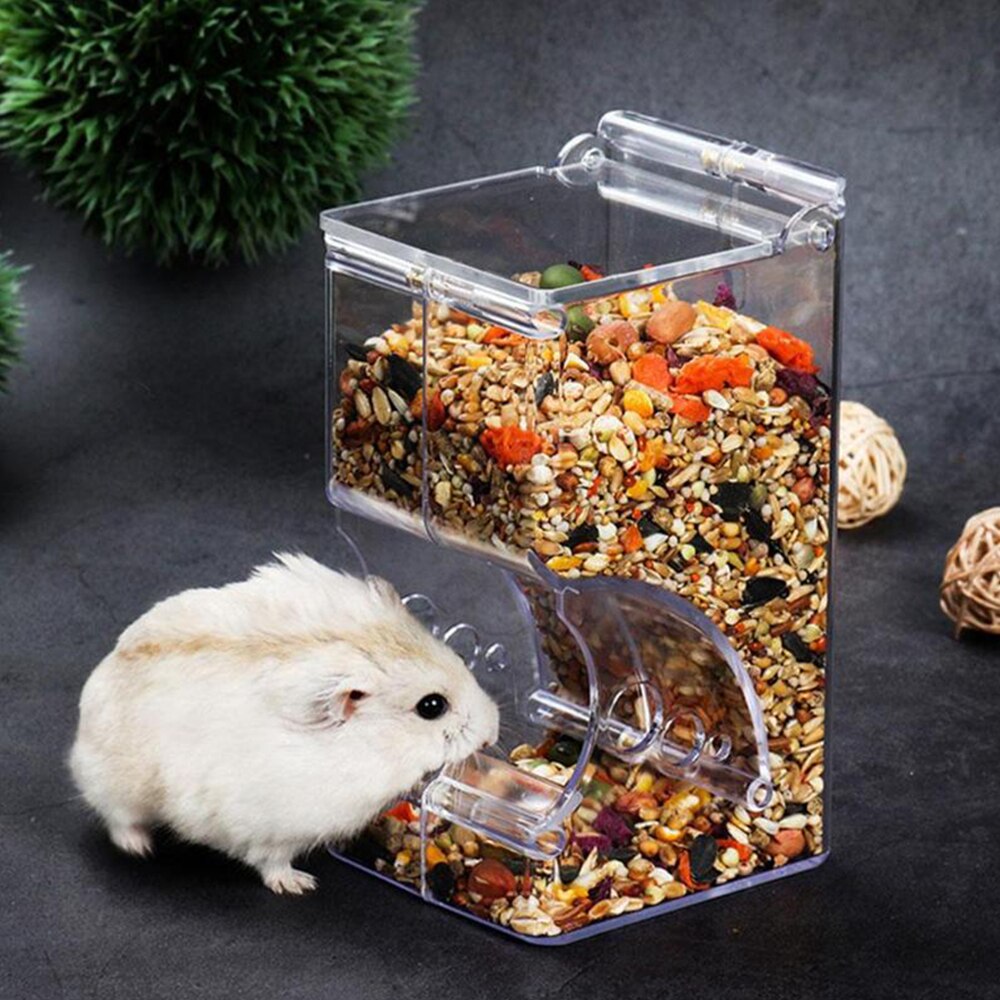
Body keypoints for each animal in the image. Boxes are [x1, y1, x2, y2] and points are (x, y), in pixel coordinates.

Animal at [70, 553, 499, 894]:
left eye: (461, 659)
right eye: (432, 706)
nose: (493, 731)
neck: (370, 748)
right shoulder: (273, 827)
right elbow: (271, 861)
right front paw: (300, 885)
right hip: (116, 785)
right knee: (116, 817)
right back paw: (139, 847)